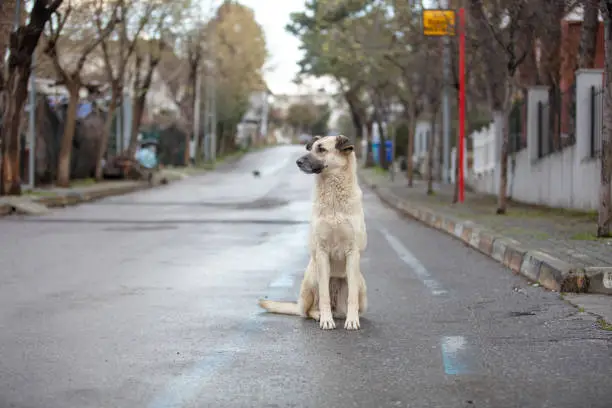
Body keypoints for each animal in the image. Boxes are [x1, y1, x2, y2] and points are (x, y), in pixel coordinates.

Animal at [258, 135, 368, 330]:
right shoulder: (322, 253)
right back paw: (319, 315)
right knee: (308, 310)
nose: (298, 162)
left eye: (322, 149)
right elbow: (323, 295)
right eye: (311, 148)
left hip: (361, 287)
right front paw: (326, 320)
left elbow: (352, 298)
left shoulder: (353, 253)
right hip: (312, 277)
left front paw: (352, 320)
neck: (333, 194)